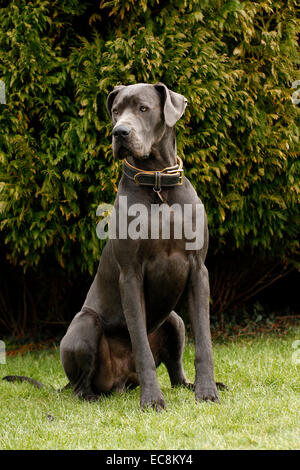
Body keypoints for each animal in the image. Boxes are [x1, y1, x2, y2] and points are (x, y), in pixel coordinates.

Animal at [4, 82, 225, 410]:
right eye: (117, 111)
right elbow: (141, 345)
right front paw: (152, 400)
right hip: (85, 324)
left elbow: (204, 343)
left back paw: (190, 385)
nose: (119, 132)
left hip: (174, 320)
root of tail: (121, 382)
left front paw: (207, 391)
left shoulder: (198, 271)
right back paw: (92, 396)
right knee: (80, 384)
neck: (157, 185)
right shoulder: (130, 274)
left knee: (175, 371)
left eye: (143, 108)